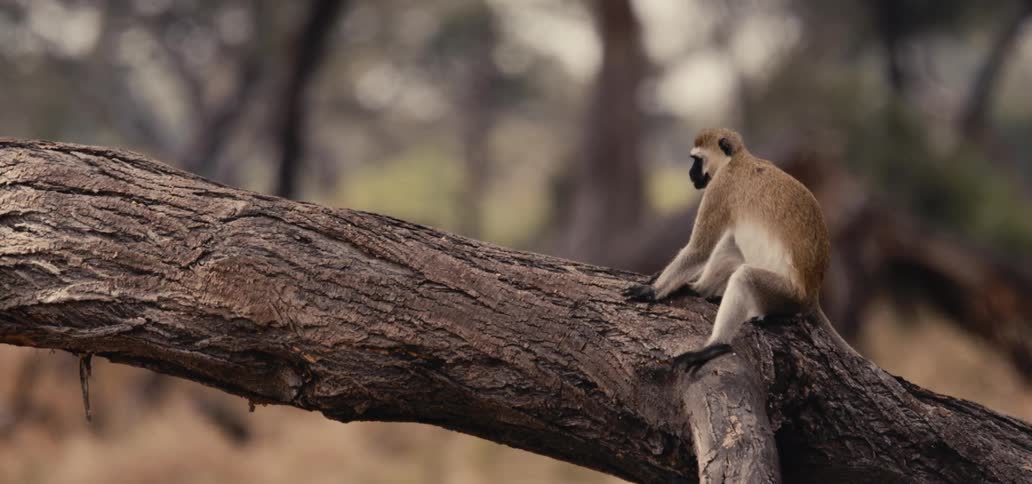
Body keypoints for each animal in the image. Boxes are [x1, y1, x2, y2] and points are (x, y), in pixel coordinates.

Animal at [624, 128, 848, 371]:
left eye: (696, 160)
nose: (690, 174)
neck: (737, 160)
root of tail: (812, 294)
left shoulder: (720, 188)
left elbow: (699, 249)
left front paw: (652, 291)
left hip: (786, 295)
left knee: (745, 276)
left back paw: (715, 345)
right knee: (730, 245)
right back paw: (698, 289)